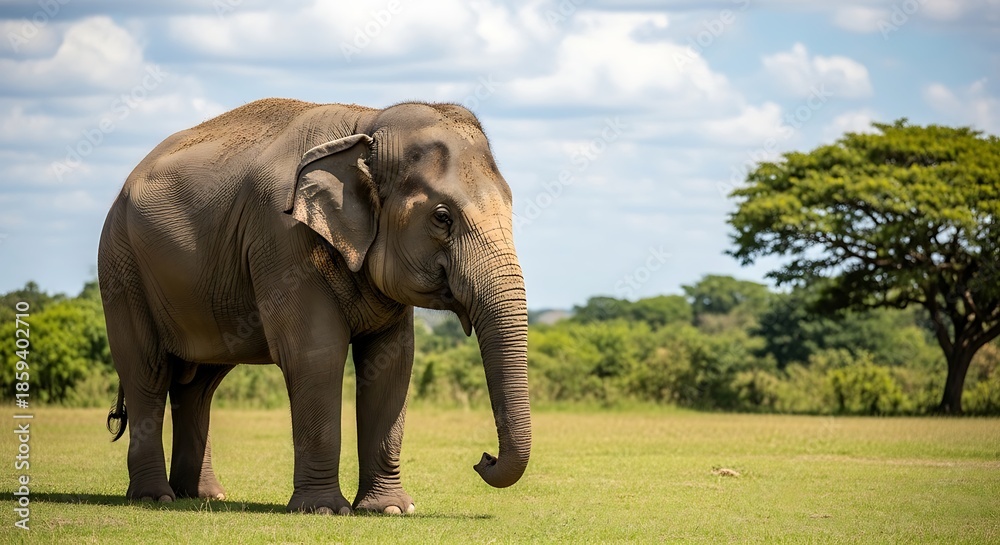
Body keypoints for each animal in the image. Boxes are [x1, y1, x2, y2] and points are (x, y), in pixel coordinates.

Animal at [97, 98, 531, 515]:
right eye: (442, 217)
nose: (483, 458)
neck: (367, 122)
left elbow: (393, 363)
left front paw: (391, 509)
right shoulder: (283, 239)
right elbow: (315, 355)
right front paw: (323, 509)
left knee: (198, 385)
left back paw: (204, 497)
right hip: (121, 268)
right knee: (147, 372)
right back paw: (155, 498)